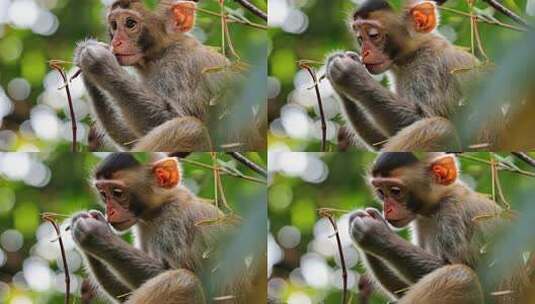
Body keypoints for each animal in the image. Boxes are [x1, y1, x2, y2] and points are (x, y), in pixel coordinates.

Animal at [70, 153, 264, 302]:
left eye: (117, 193)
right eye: (103, 194)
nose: (109, 211)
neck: (159, 209)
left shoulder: (173, 225)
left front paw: (95, 235)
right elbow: (127, 292)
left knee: (185, 282)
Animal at [75, 0, 266, 152]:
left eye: (130, 23)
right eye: (114, 25)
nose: (116, 42)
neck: (160, 54)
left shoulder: (178, 69)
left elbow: (177, 117)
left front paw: (99, 62)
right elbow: (132, 138)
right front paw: (85, 61)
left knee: (192, 130)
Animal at [324, 0, 508, 151]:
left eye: (373, 35)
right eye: (360, 38)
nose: (365, 52)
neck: (413, 54)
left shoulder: (430, 70)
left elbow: (431, 117)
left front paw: (351, 75)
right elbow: (383, 140)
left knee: (440, 129)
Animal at [350, 153, 528, 304]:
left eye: (395, 191)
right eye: (381, 192)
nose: (387, 209)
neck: (437, 204)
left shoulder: (452, 214)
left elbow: (468, 269)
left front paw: (375, 234)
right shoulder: (420, 221)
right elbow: (405, 288)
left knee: (462, 277)